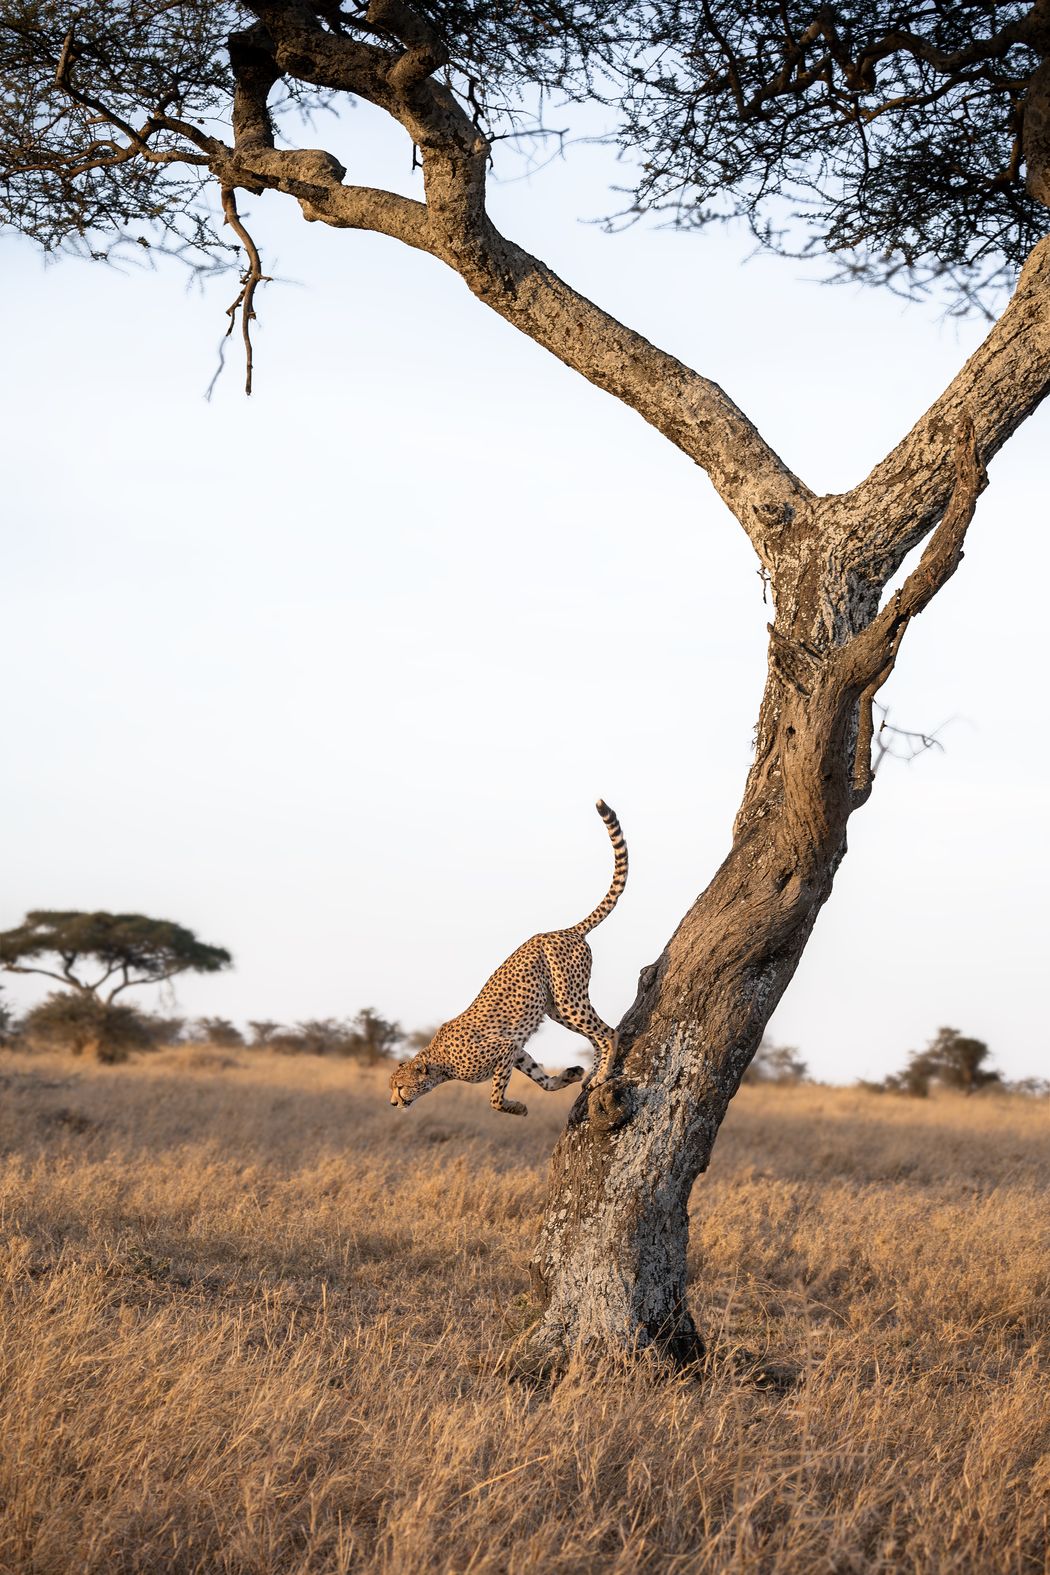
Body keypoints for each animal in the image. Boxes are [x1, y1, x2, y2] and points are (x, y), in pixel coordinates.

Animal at [389, 800, 628, 1116]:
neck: (440, 1062)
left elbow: (494, 1098)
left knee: (608, 1033)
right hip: (555, 1007)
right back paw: (589, 1075)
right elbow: (539, 1078)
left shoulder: (503, 1048)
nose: (393, 1102)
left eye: (401, 1087)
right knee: (594, 1037)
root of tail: (564, 930)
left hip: (568, 998)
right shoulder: (515, 1048)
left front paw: (515, 1107)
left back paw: (601, 1075)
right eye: (391, 1087)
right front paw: (567, 1076)